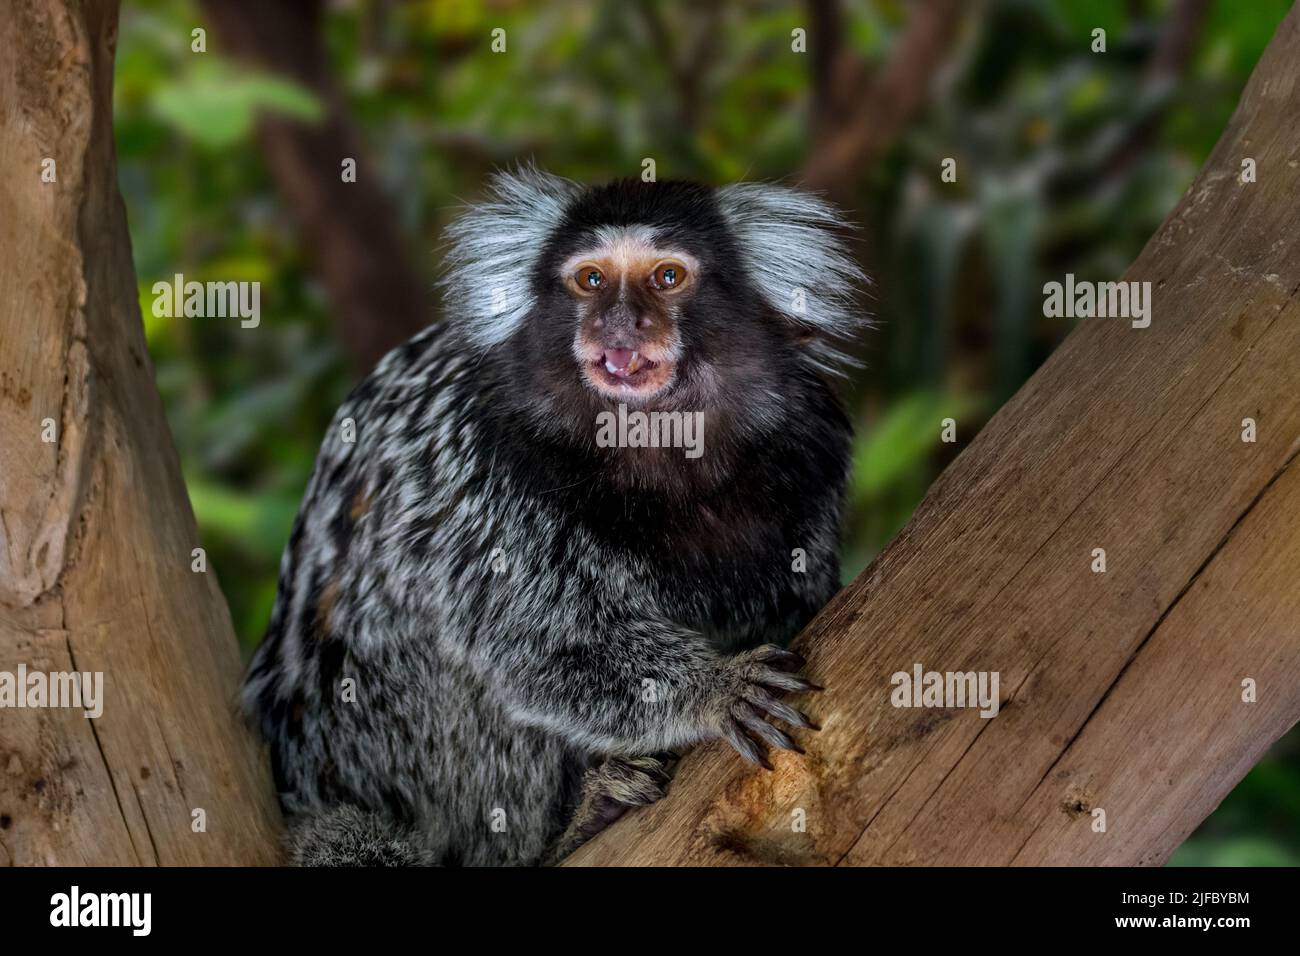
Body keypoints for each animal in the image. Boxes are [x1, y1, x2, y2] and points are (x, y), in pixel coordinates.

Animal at [240, 168, 867, 866]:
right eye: (590, 280)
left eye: (667, 277)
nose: (619, 325)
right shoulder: (479, 465)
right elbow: (542, 647)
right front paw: (713, 688)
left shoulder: (813, 447)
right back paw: (573, 826)